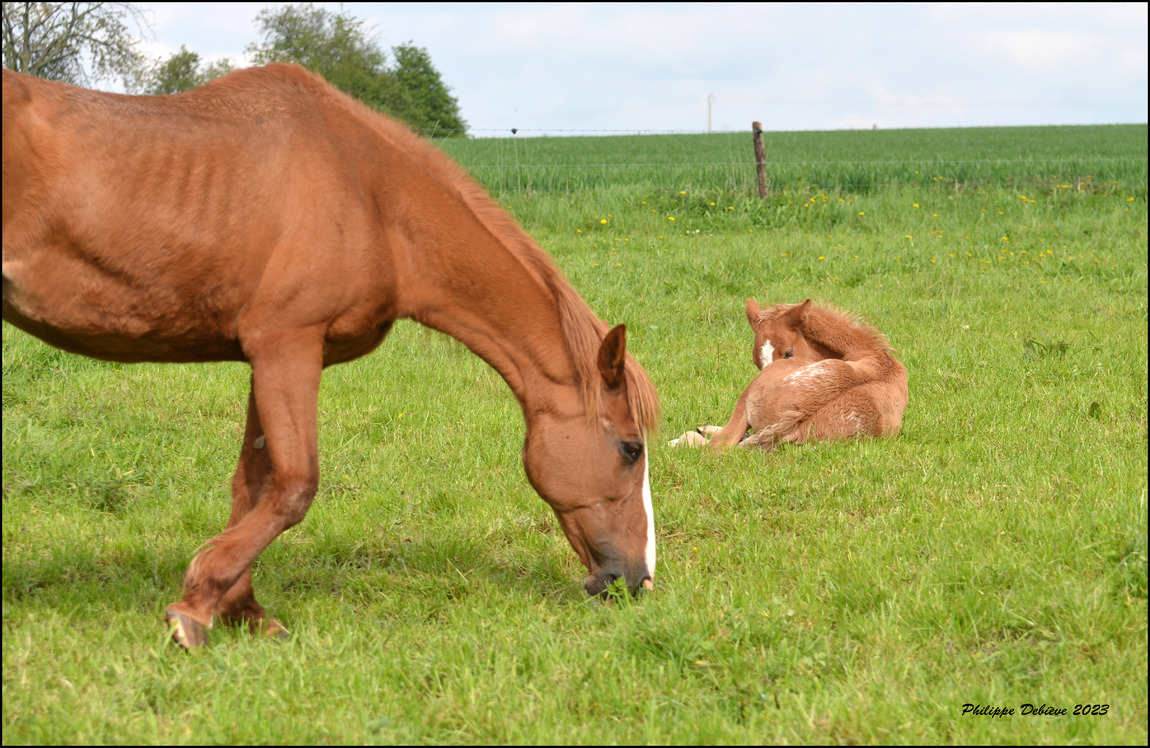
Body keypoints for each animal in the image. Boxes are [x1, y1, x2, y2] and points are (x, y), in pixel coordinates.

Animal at [0, 64, 662, 644]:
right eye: (631, 449)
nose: (636, 580)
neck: (372, 196)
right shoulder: (287, 346)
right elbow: (294, 486)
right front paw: (195, 607)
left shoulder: (268, 357)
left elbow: (253, 485)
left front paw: (241, 609)